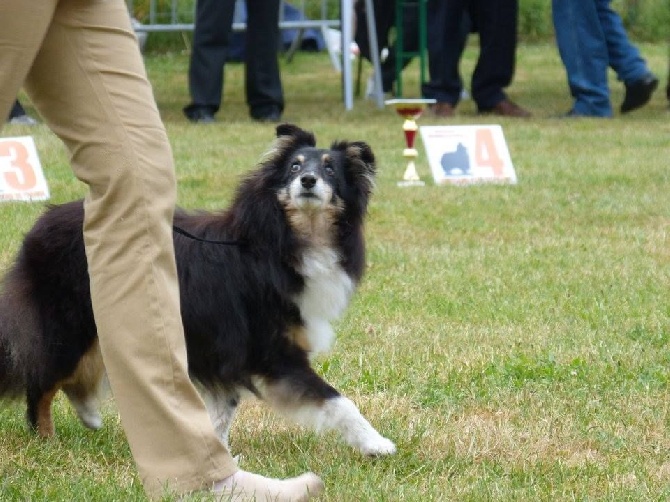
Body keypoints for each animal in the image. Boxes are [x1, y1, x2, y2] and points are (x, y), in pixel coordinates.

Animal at [0, 123, 396, 456]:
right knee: (41, 381)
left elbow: (222, 411)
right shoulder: (270, 350)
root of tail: (40, 223)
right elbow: (337, 401)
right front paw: (378, 445)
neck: (281, 241)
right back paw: (46, 441)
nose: (309, 180)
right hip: (67, 324)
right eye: (295, 167)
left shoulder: (227, 349)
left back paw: (88, 416)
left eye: (331, 170)